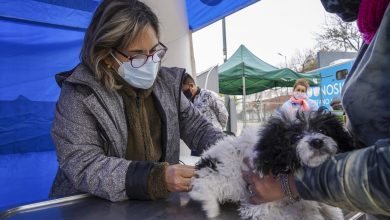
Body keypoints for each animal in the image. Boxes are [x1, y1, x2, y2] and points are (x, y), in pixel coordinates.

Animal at [189, 109, 354, 219]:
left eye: (322, 130)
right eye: (295, 137)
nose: (317, 142)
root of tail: (206, 158)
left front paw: (332, 213)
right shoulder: (260, 205)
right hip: (223, 176)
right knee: (201, 186)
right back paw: (210, 205)